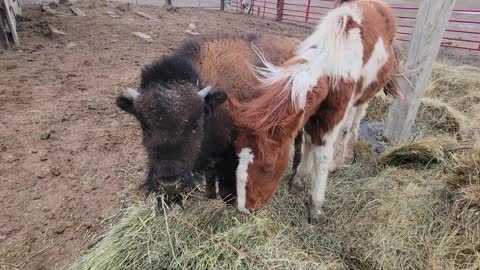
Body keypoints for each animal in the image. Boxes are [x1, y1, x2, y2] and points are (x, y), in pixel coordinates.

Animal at [227, 0, 400, 221]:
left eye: (267, 166)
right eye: (237, 154)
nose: (245, 207)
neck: (326, 67)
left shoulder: (330, 119)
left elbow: (322, 155)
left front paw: (316, 206)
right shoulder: (310, 114)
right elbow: (309, 142)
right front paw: (299, 178)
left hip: (365, 95)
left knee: (354, 123)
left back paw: (344, 157)